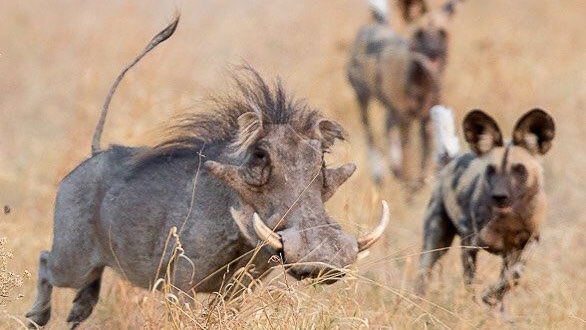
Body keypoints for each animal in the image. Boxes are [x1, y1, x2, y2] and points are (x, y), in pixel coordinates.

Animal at [346, 0, 466, 187]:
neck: (423, 83)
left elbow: (424, 160)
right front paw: (409, 185)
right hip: (363, 100)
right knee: (370, 135)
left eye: (442, 33)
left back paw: (395, 169)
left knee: (387, 126)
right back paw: (379, 173)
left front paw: (420, 183)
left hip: (391, 109)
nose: (432, 51)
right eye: (419, 33)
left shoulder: (426, 120)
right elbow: (408, 155)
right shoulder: (406, 120)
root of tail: (377, 24)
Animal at [412, 109, 556, 308]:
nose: (499, 196)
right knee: (423, 273)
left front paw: (492, 297)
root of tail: (452, 160)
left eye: (520, 170)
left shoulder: (526, 243)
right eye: (490, 170)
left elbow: (513, 277)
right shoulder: (469, 246)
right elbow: (470, 285)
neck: (507, 219)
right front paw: (474, 306)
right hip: (436, 241)